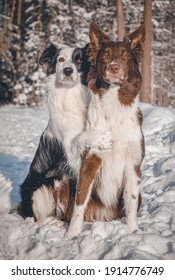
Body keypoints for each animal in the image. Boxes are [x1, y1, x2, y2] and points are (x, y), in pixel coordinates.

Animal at [20, 43, 110, 223]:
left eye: (79, 59)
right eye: (60, 60)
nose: (68, 70)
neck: (71, 94)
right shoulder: (70, 152)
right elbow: (80, 137)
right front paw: (99, 136)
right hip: (39, 189)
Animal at [65, 20, 145, 237]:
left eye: (125, 56)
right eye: (106, 55)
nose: (114, 68)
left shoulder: (133, 162)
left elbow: (131, 203)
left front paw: (134, 232)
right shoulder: (91, 158)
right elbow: (79, 203)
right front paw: (70, 236)